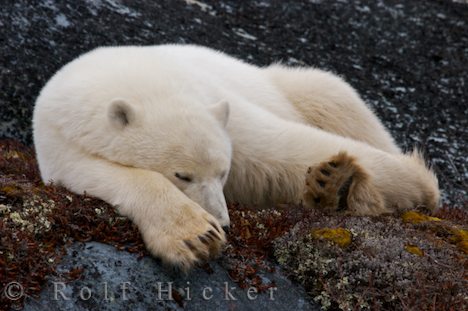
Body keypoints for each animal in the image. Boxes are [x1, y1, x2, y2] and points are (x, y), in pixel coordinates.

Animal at [33, 44, 438, 270]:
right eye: (182, 175)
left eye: (223, 173)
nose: (224, 222)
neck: (138, 80)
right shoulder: (59, 141)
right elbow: (96, 174)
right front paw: (195, 237)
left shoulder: (220, 107)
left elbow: (279, 150)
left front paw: (410, 182)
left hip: (286, 85)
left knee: (333, 96)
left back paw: (337, 183)